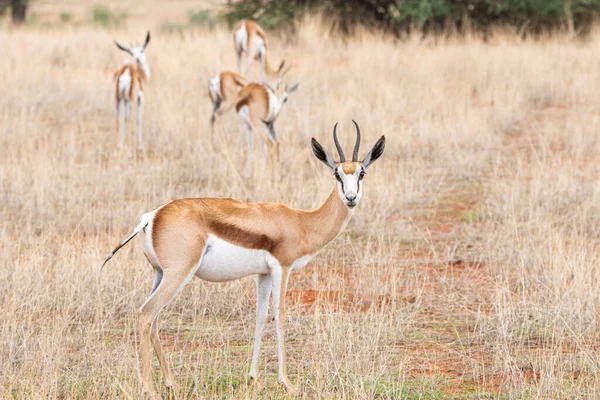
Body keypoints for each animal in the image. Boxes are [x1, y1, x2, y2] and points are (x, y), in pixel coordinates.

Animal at [101, 122, 384, 396]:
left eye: (361, 173)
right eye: (337, 174)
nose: (351, 198)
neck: (302, 223)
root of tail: (152, 216)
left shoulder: (263, 273)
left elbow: (260, 316)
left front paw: (254, 377)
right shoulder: (282, 268)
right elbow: (280, 315)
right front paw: (286, 382)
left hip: (160, 274)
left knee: (154, 319)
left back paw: (173, 384)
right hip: (179, 273)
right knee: (146, 314)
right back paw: (148, 388)